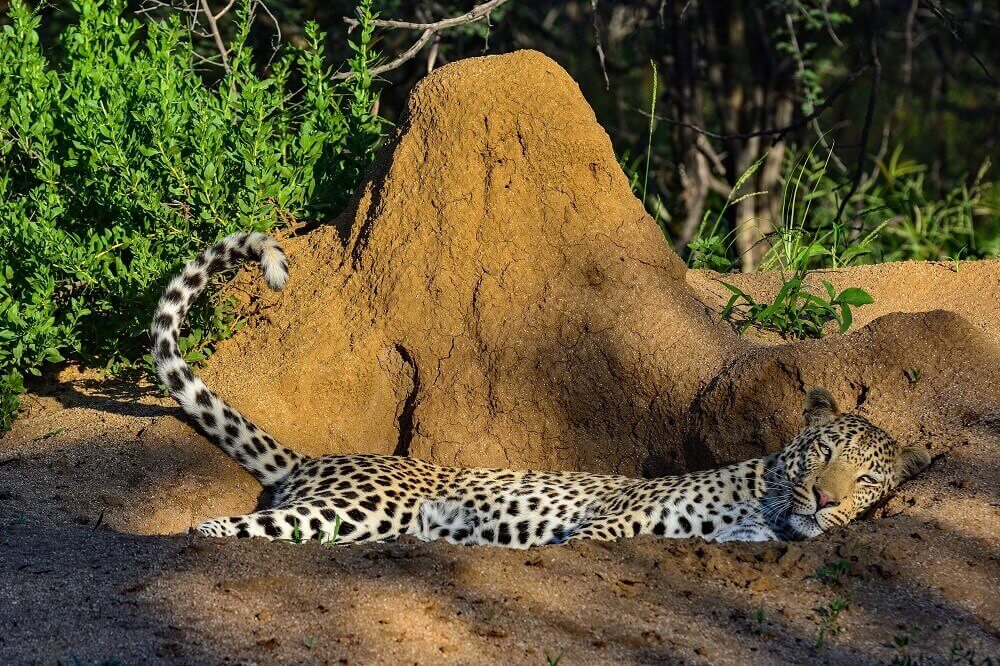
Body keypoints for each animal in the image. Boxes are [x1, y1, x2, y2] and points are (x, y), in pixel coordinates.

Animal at [148, 233, 928, 544]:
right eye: (822, 457)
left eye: (865, 482)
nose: (825, 499)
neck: (763, 505)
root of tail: (313, 458)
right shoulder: (616, 517)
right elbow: (591, 534)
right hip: (359, 509)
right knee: (227, 526)